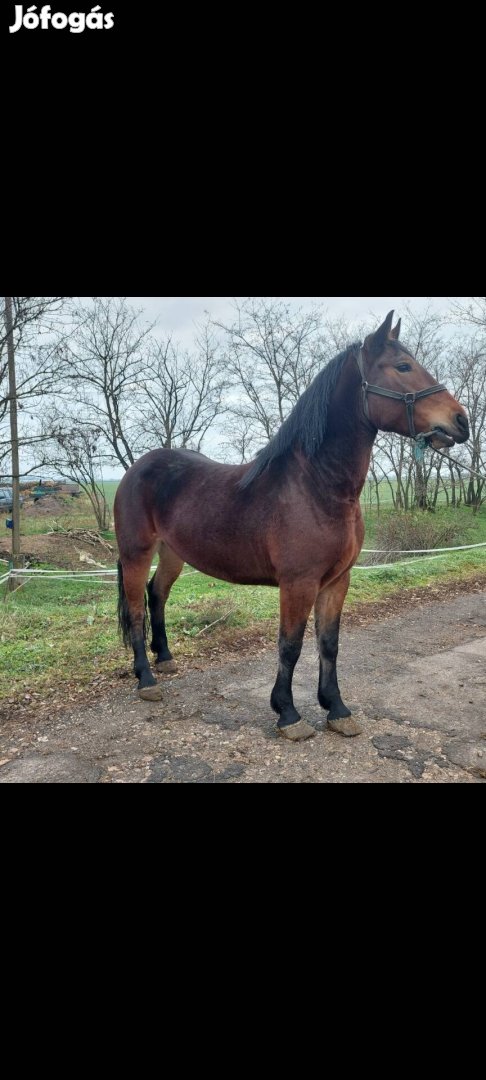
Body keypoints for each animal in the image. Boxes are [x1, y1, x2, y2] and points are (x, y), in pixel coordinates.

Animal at [115, 308, 468, 738]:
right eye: (403, 366)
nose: (461, 421)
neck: (316, 485)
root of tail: (138, 468)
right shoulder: (298, 583)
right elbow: (291, 645)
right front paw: (287, 713)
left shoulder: (336, 581)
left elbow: (328, 644)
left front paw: (336, 708)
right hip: (136, 552)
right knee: (135, 608)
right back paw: (146, 679)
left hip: (173, 553)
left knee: (157, 594)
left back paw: (164, 658)